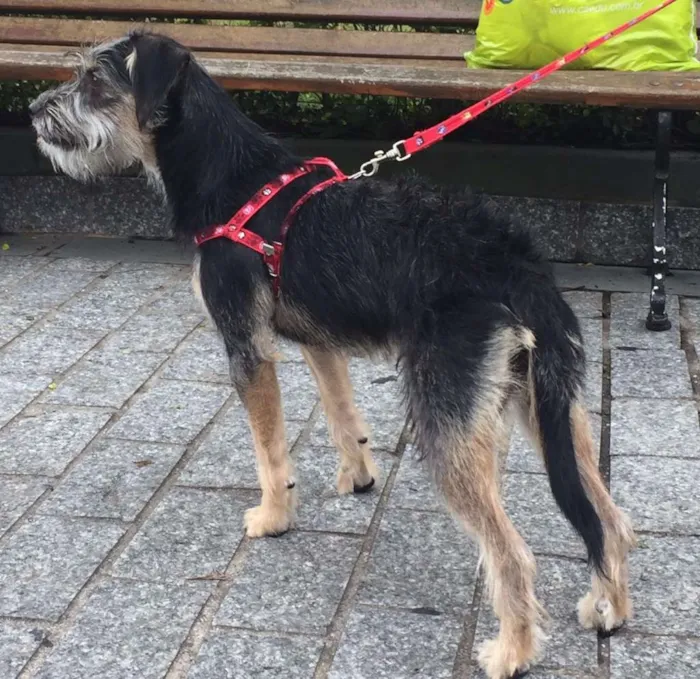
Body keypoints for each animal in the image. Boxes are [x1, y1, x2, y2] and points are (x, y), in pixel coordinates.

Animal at [31, 31, 636, 679]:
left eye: (95, 80)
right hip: (547, 405)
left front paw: (273, 517)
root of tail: (518, 263)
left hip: (450, 427)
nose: (35, 111)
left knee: (514, 554)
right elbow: (342, 415)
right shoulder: (319, 341)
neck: (230, 176)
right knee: (610, 521)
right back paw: (609, 609)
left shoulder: (246, 347)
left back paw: (511, 652)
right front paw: (358, 476)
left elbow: (268, 450)